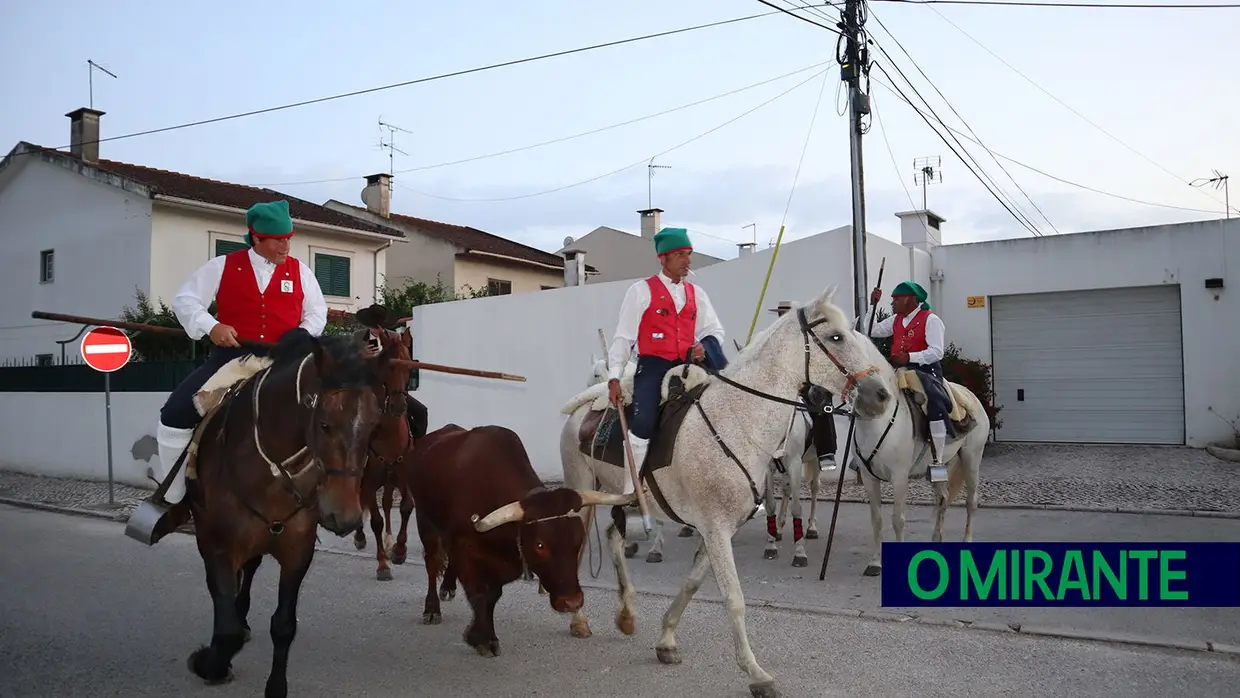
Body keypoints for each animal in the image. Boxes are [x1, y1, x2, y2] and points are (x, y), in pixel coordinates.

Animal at [178, 329, 391, 698]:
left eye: (372, 426)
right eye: (324, 424)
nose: (346, 517)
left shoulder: (296, 552)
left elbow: (283, 625)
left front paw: (275, 687)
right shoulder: (218, 547)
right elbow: (226, 626)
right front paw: (210, 663)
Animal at [411, 424, 634, 659]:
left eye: (578, 540)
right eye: (540, 545)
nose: (572, 601)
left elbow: (492, 596)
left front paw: (482, 635)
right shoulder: (464, 548)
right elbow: (479, 594)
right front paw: (482, 639)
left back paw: (448, 587)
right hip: (425, 523)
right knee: (432, 563)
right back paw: (432, 608)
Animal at [572, 286, 892, 694]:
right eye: (836, 337)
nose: (880, 395)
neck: (737, 420)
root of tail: (586, 403)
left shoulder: (720, 528)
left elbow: (693, 583)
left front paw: (666, 640)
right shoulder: (715, 527)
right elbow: (734, 598)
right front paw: (755, 673)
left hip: (620, 498)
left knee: (612, 536)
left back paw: (626, 614)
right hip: (580, 491)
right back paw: (578, 618)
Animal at [848, 327, 982, 580]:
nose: (871, 401)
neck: (879, 421)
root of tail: (970, 395)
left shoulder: (899, 477)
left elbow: (898, 520)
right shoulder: (869, 478)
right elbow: (877, 520)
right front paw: (875, 563)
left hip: (971, 460)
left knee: (971, 502)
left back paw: (968, 541)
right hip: (941, 467)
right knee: (942, 500)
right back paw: (936, 542)